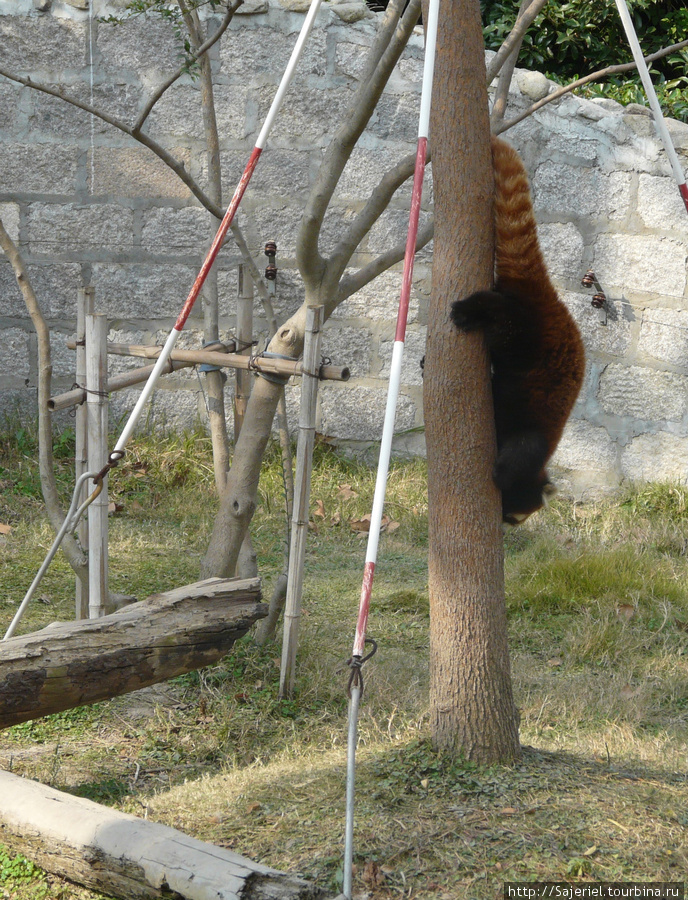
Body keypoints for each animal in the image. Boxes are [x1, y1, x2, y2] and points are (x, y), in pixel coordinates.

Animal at [452, 136, 584, 524]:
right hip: (528, 334)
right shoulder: (532, 434)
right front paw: (501, 475)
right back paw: (467, 310)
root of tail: (548, 298)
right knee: (500, 315)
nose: (504, 524)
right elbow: (521, 450)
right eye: (515, 516)